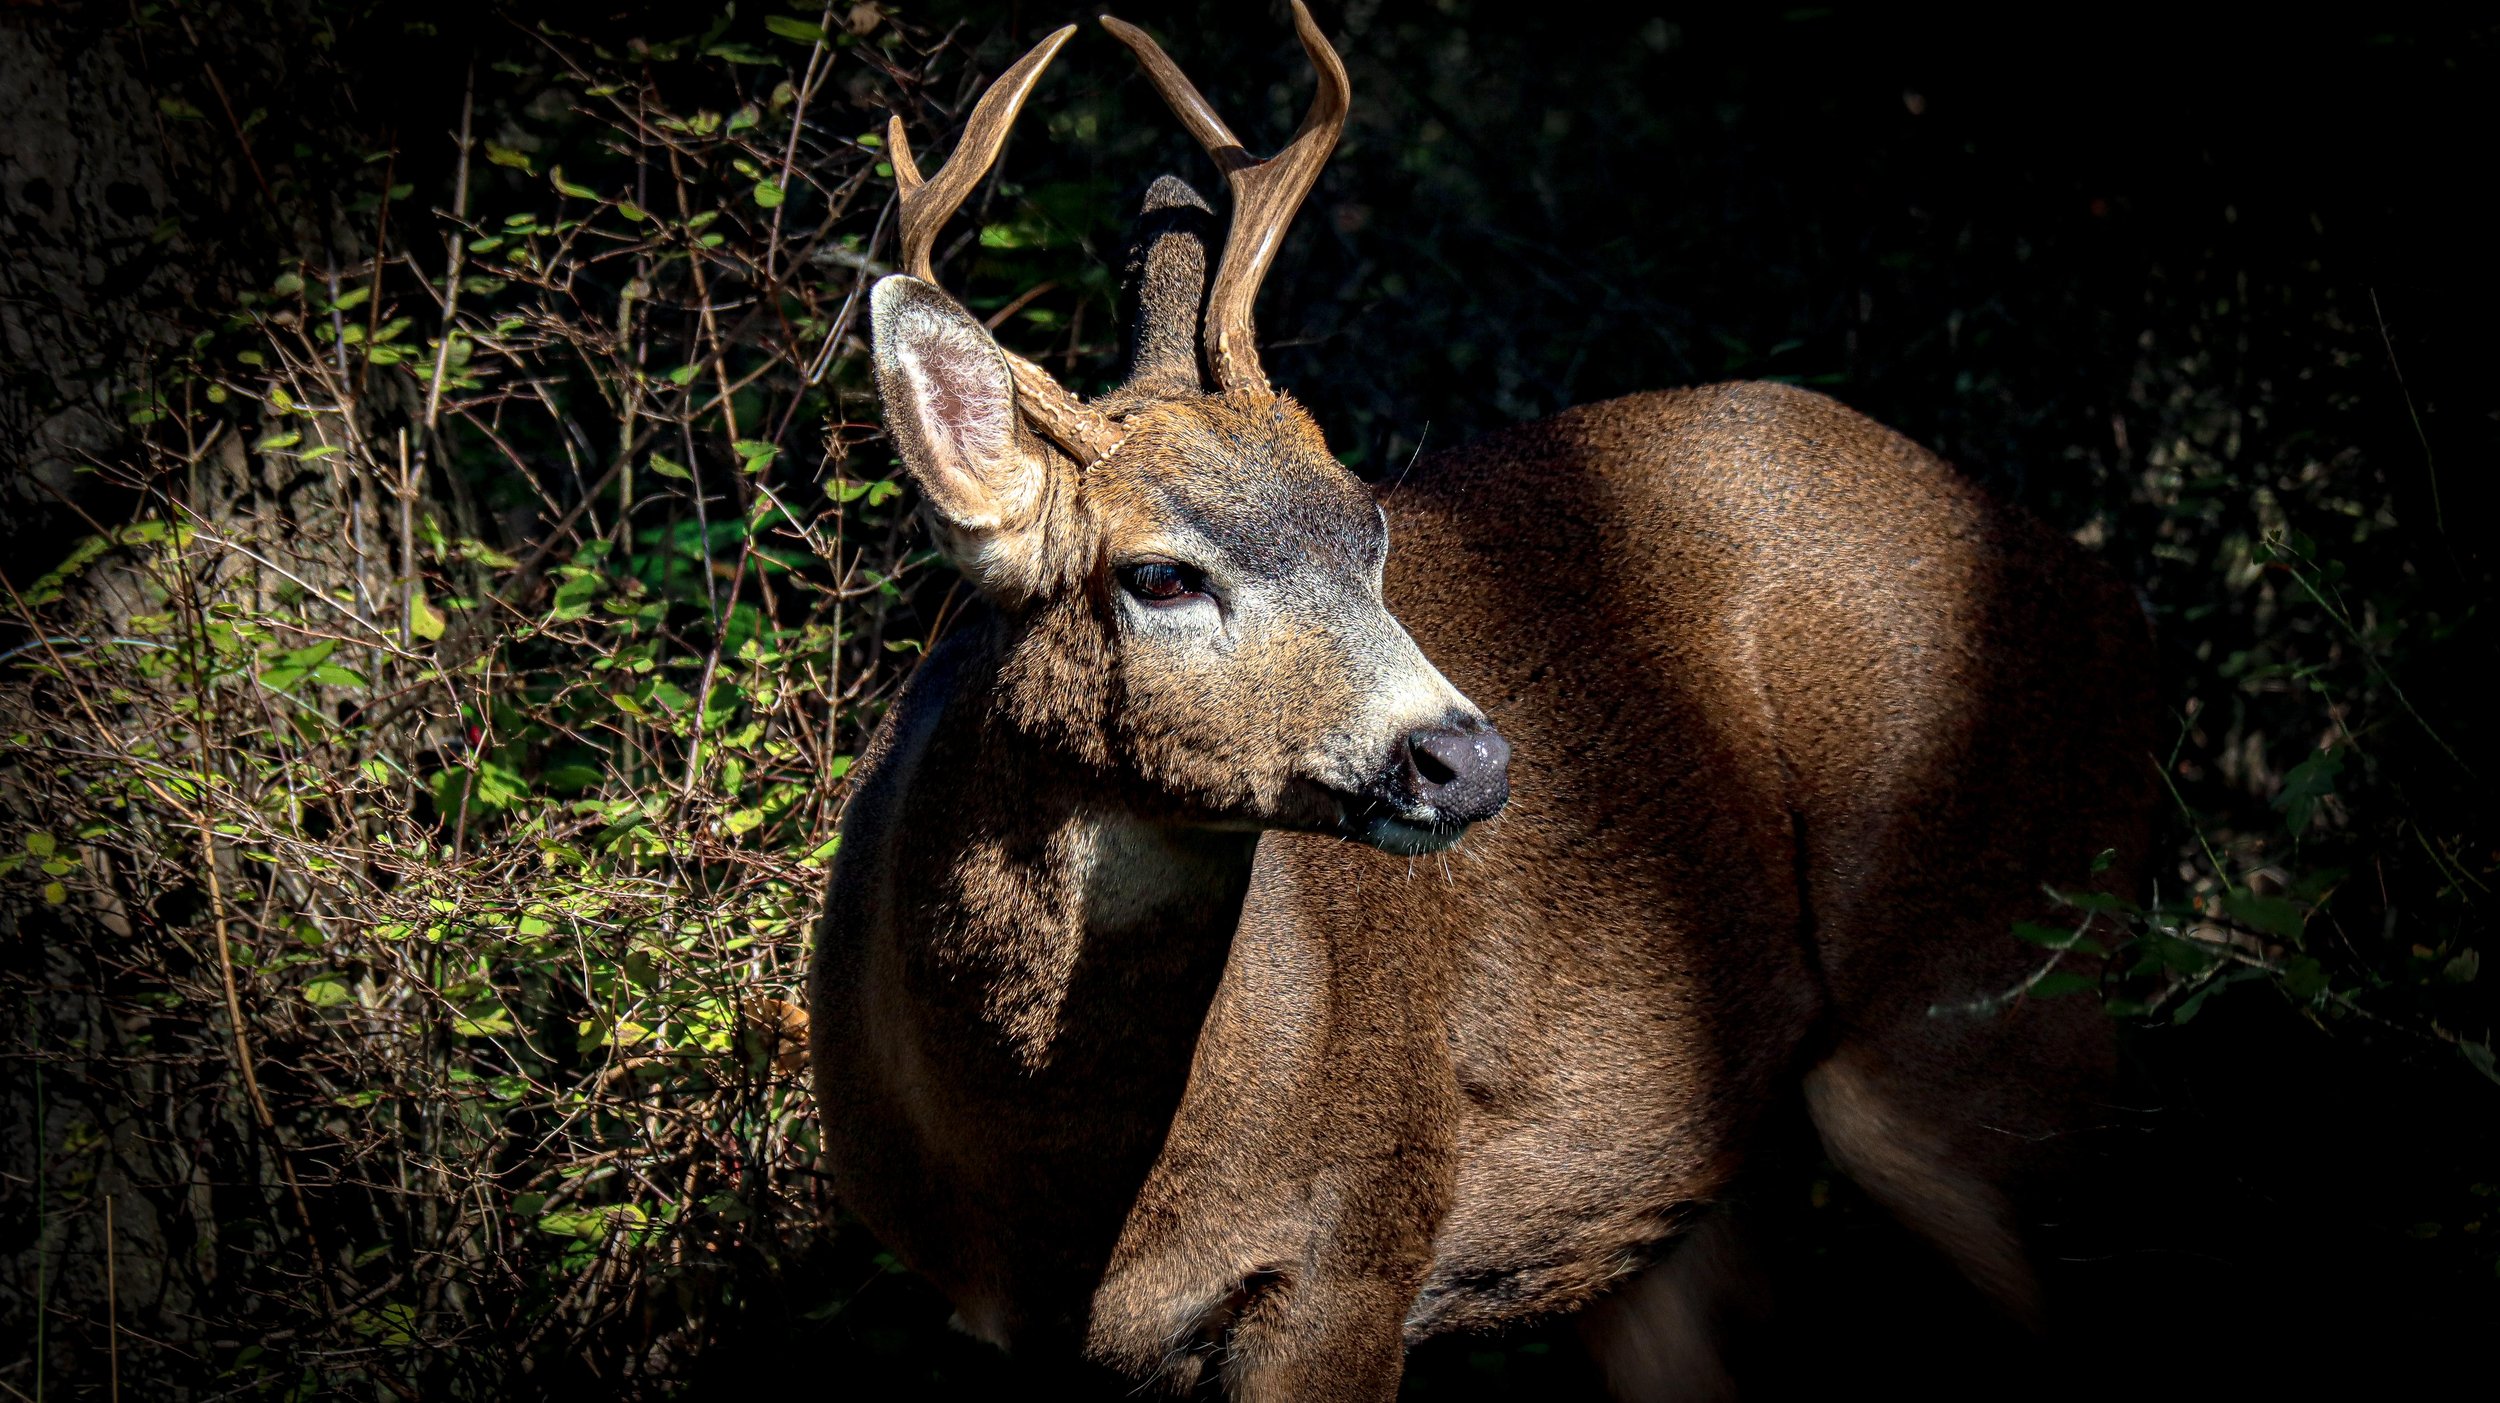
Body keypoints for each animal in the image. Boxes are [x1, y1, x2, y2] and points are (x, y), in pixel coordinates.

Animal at [808, 7, 2155, 1398]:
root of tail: (2097, 587)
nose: (1462, 757)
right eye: (1160, 574)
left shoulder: (1353, 1241)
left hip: (1992, 993)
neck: (1051, 1192)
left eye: (1371, 528)